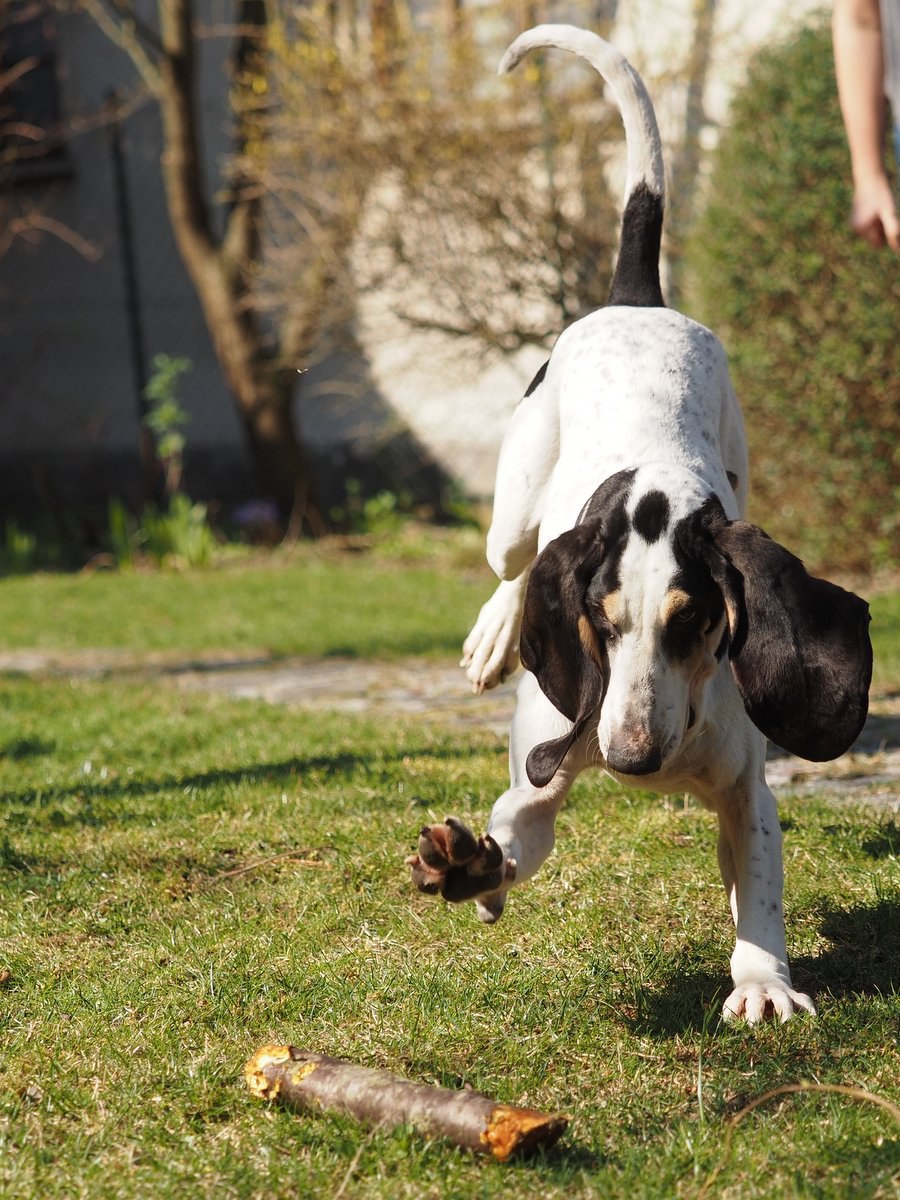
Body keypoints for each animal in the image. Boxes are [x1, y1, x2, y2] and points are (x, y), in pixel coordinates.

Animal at [407, 25, 872, 1024]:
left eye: (696, 624)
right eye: (599, 623)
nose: (630, 760)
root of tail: (636, 301)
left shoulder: (744, 787)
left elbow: (760, 880)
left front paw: (764, 980)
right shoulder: (539, 779)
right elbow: (514, 834)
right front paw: (472, 868)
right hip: (514, 501)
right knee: (514, 557)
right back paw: (496, 629)